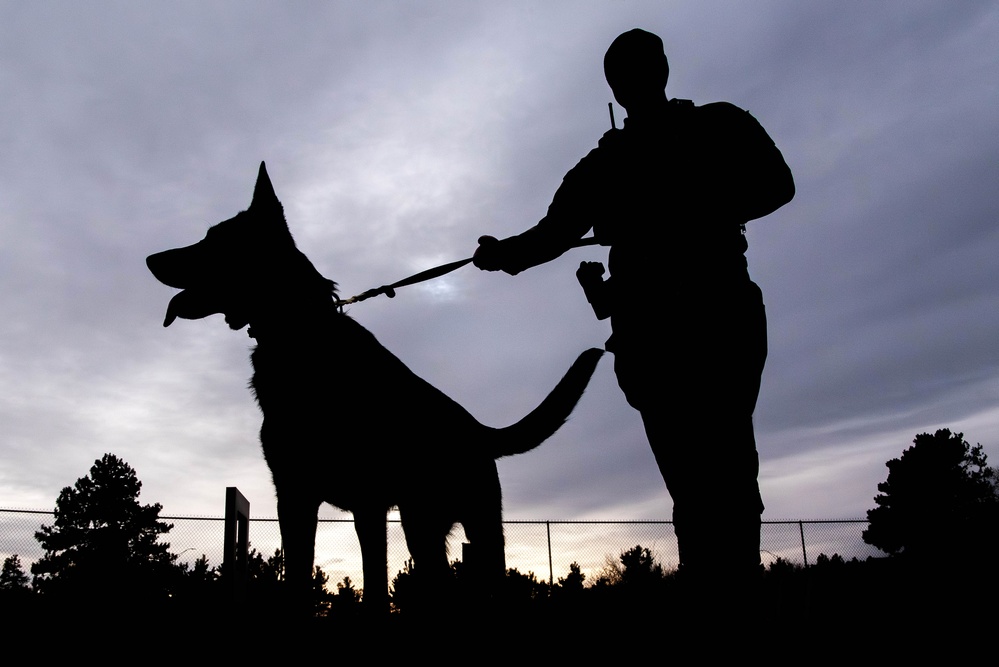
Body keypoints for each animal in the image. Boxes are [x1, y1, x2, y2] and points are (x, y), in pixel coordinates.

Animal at [146, 164, 600, 612]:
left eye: (214, 240)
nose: (151, 258)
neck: (300, 333)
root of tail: (477, 429)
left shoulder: (366, 502)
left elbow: (375, 591)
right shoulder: (295, 494)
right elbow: (299, 581)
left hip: (459, 525)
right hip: (424, 525)